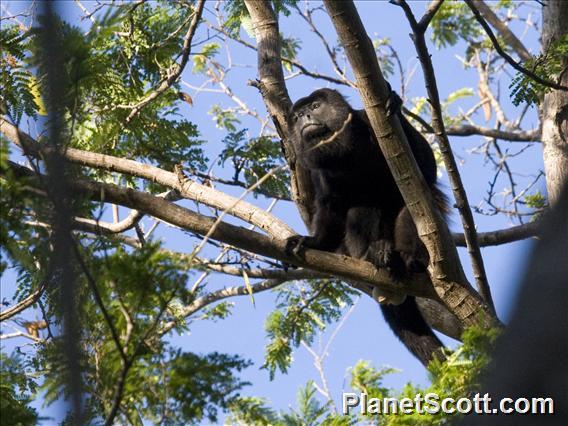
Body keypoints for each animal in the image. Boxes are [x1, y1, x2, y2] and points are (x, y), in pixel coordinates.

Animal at [288, 87, 448, 366]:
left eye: (316, 106)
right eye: (296, 117)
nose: (305, 116)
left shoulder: (364, 121)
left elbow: (425, 167)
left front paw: (393, 103)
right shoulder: (317, 168)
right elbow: (329, 206)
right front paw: (313, 241)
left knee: (414, 209)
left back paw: (410, 259)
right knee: (362, 209)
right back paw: (374, 254)